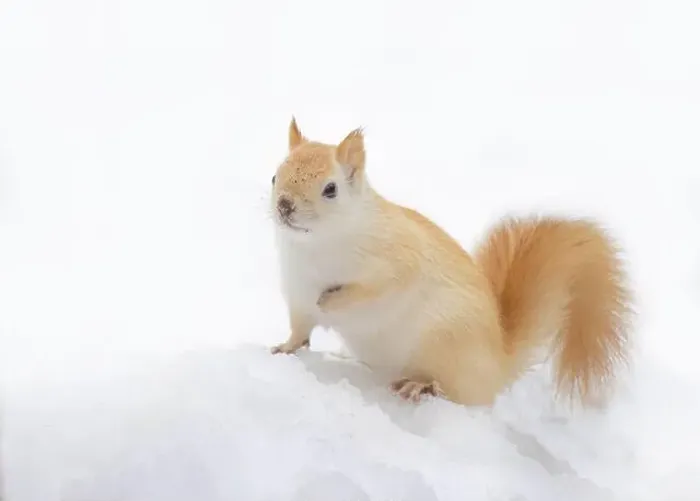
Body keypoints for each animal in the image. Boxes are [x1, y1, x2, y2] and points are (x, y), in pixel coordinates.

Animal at [269, 117, 633, 408]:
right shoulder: (296, 293)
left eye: (330, 189)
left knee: (455, 392)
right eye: (275, 176)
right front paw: (283, 348)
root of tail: (497, 366)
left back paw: (420, 385)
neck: (315, 245)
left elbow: (376, 289)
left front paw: (331, 301)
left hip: (447, 348)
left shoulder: (397, 261)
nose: (284, 205)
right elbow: (300, 329)